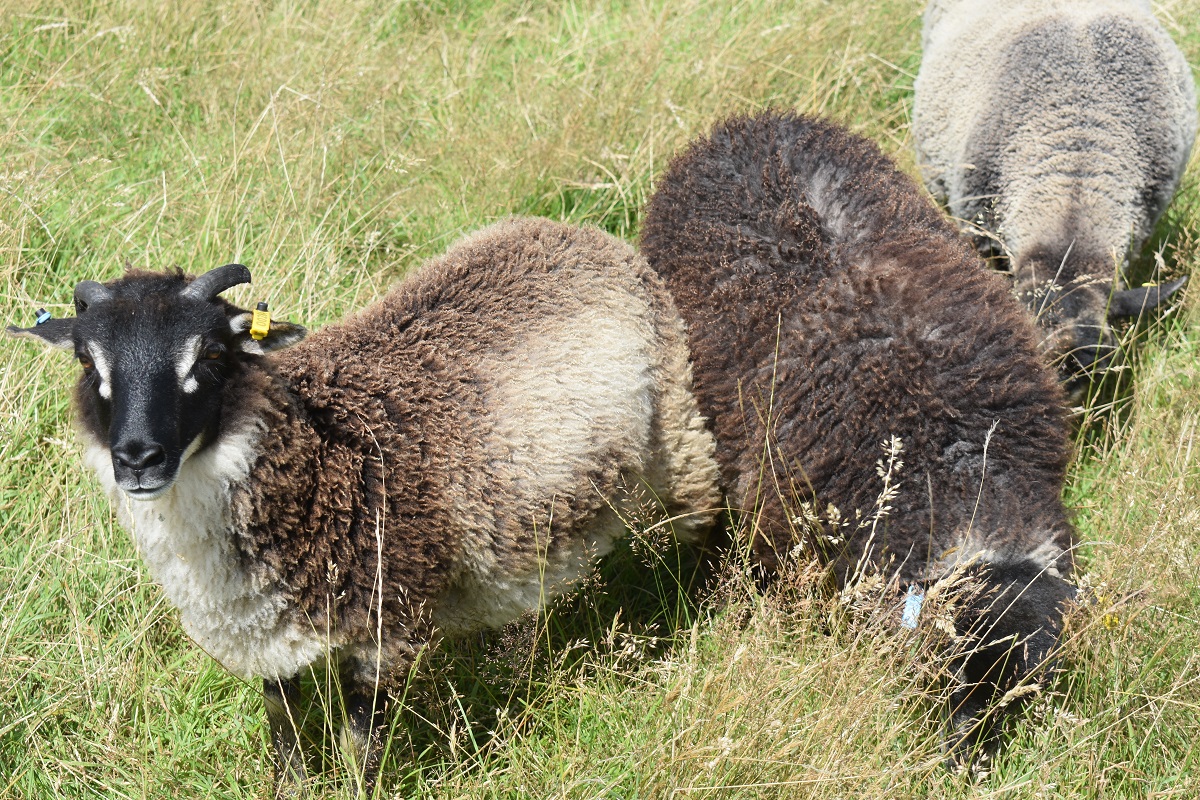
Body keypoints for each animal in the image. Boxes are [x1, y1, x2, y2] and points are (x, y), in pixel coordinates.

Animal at [7, 217, 720, 796]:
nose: (138, 459)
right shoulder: (270, 632)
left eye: (209, 355)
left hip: (678, 431)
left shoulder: (387, 621)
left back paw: (709, 608)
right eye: (87, 360)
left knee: (705, 517)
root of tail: (576, 233)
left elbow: (360, 749)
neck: (314, 463)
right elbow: (285, 736)